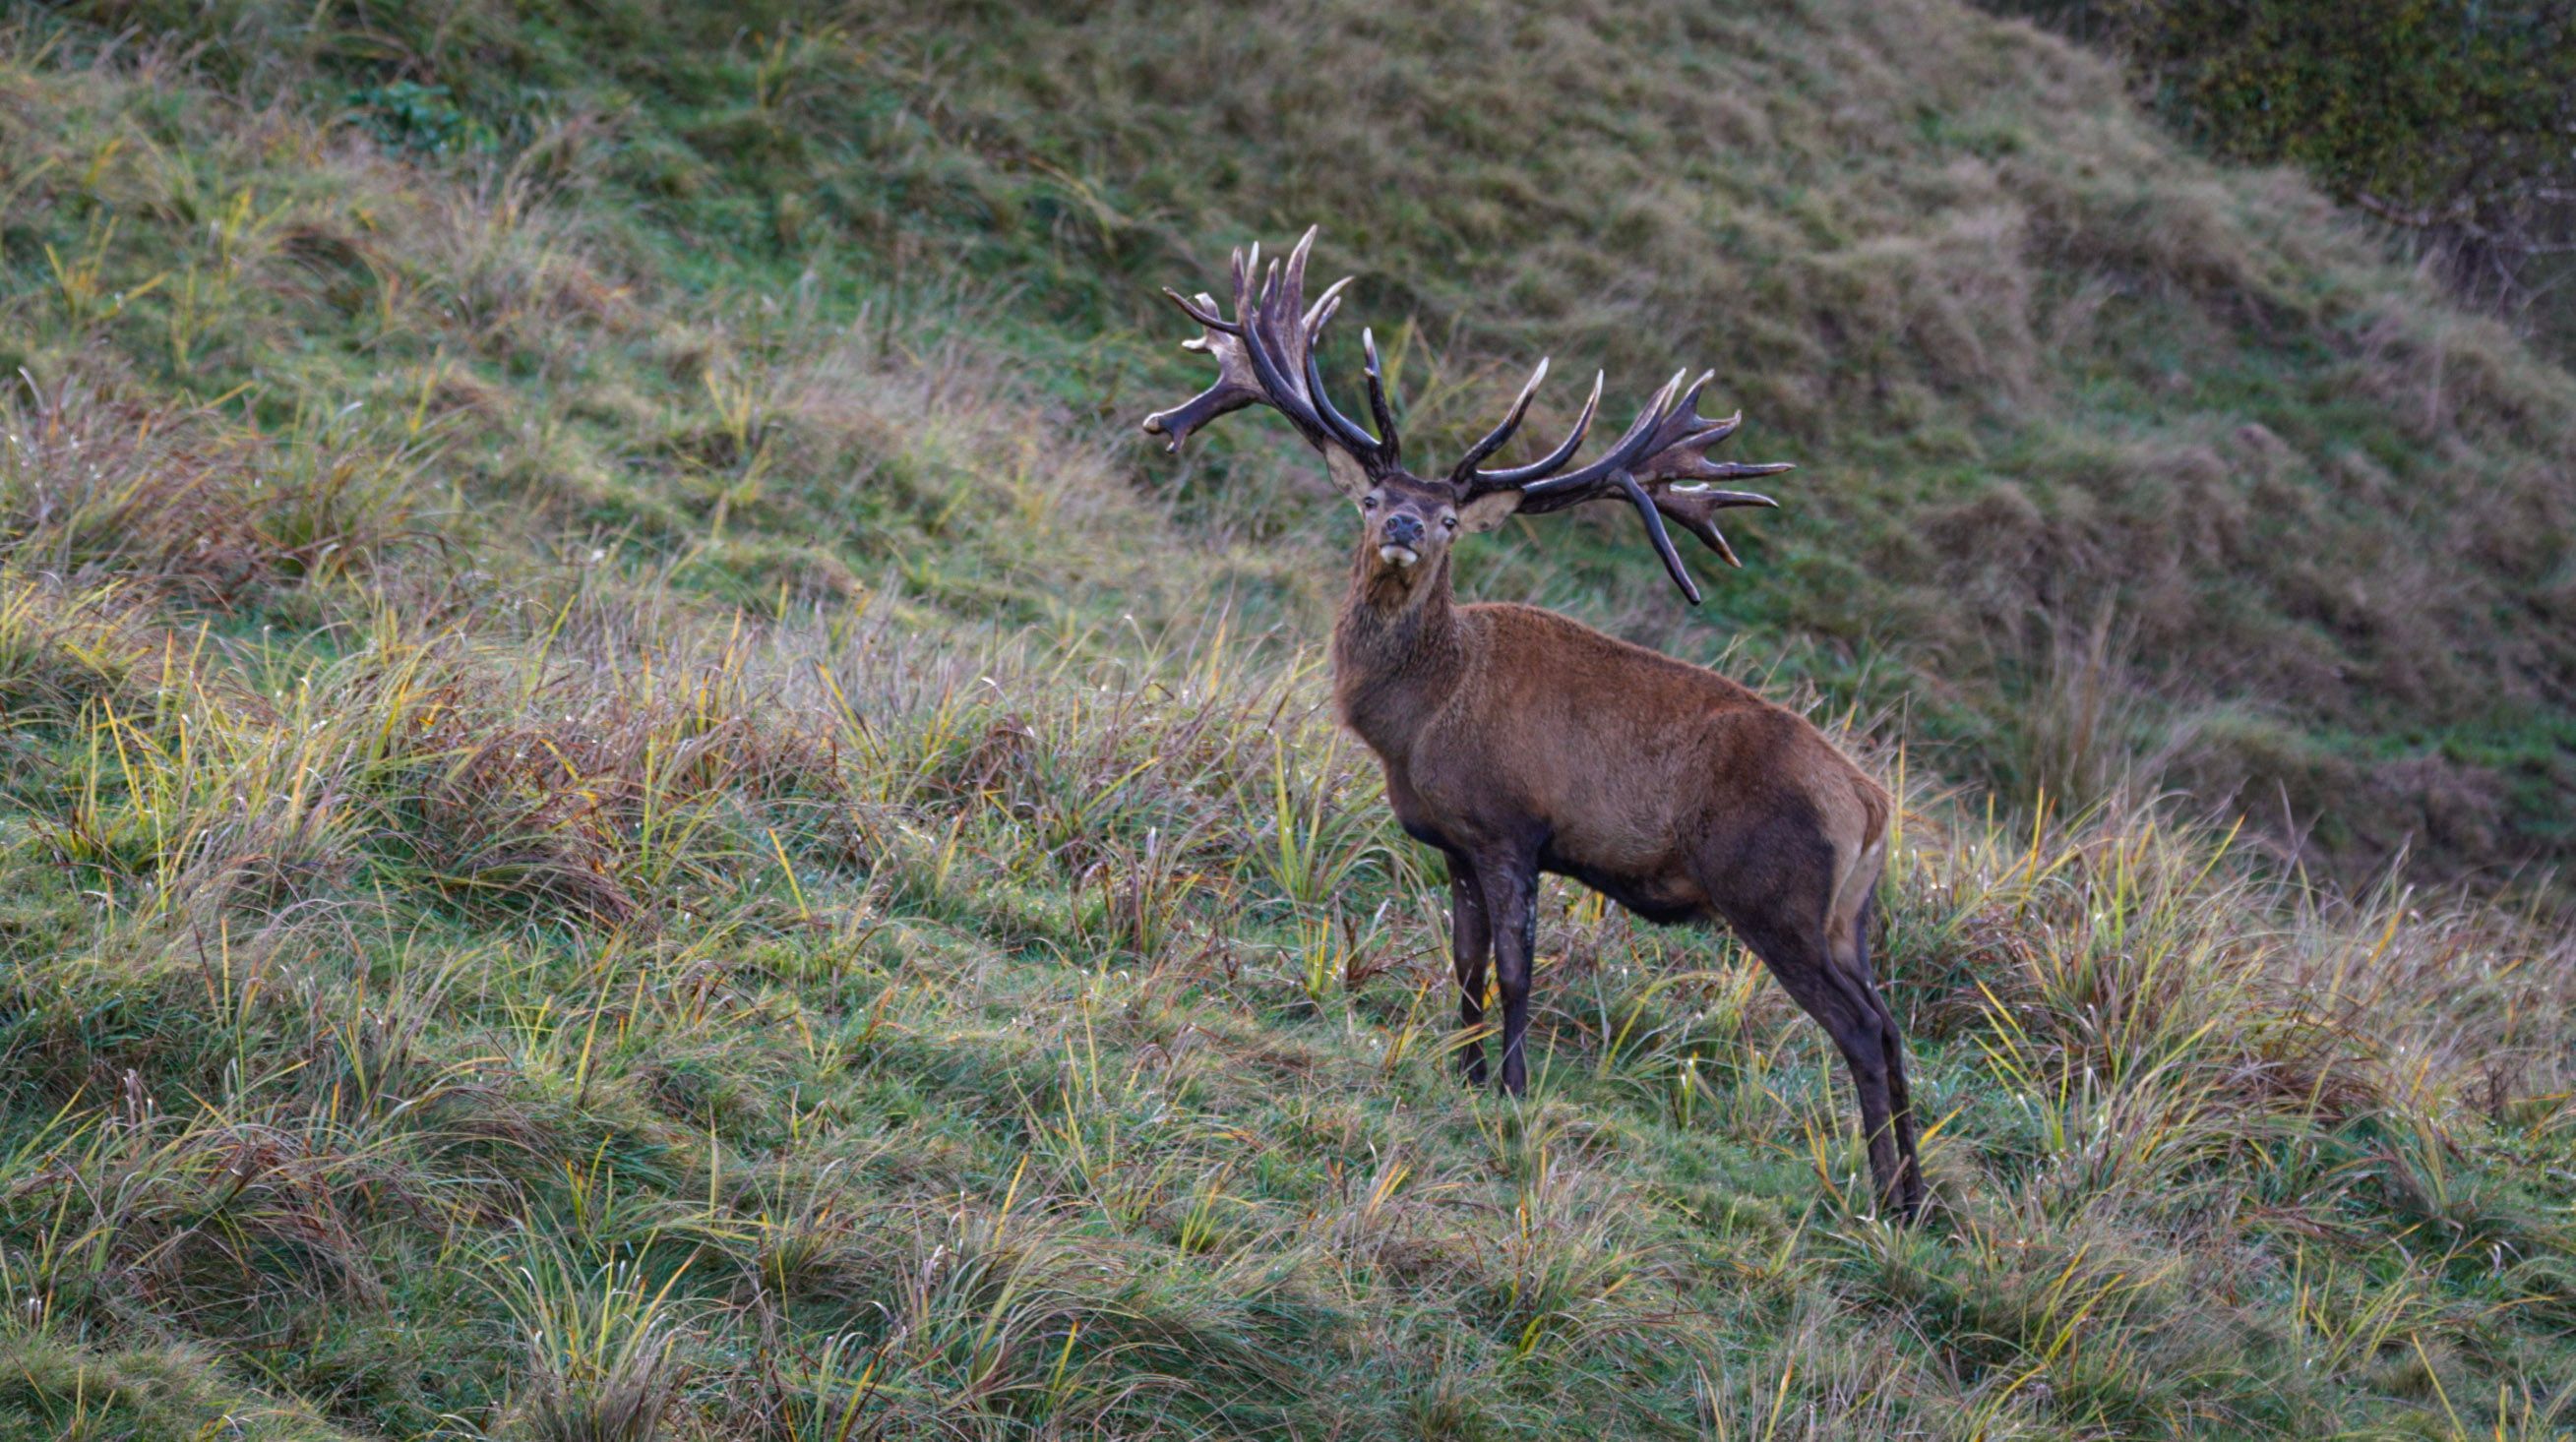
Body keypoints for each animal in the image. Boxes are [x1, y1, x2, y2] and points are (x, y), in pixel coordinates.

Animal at [1140, 229, 1924, 1221]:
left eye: (1447, 517)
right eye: (1372, 498)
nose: (1403, 527)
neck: (1416, 720)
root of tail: (1871, 805)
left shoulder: (1514, 825)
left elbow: (1517, 970)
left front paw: (1511, 1089)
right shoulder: (1452, 839)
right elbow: (1465, 963)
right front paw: (1463, 1069)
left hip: (1774, 894)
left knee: (1859, 1029)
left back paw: (1885, 1196)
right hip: (1847, 916)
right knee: (1892, 1026)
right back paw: (1919, 1195)